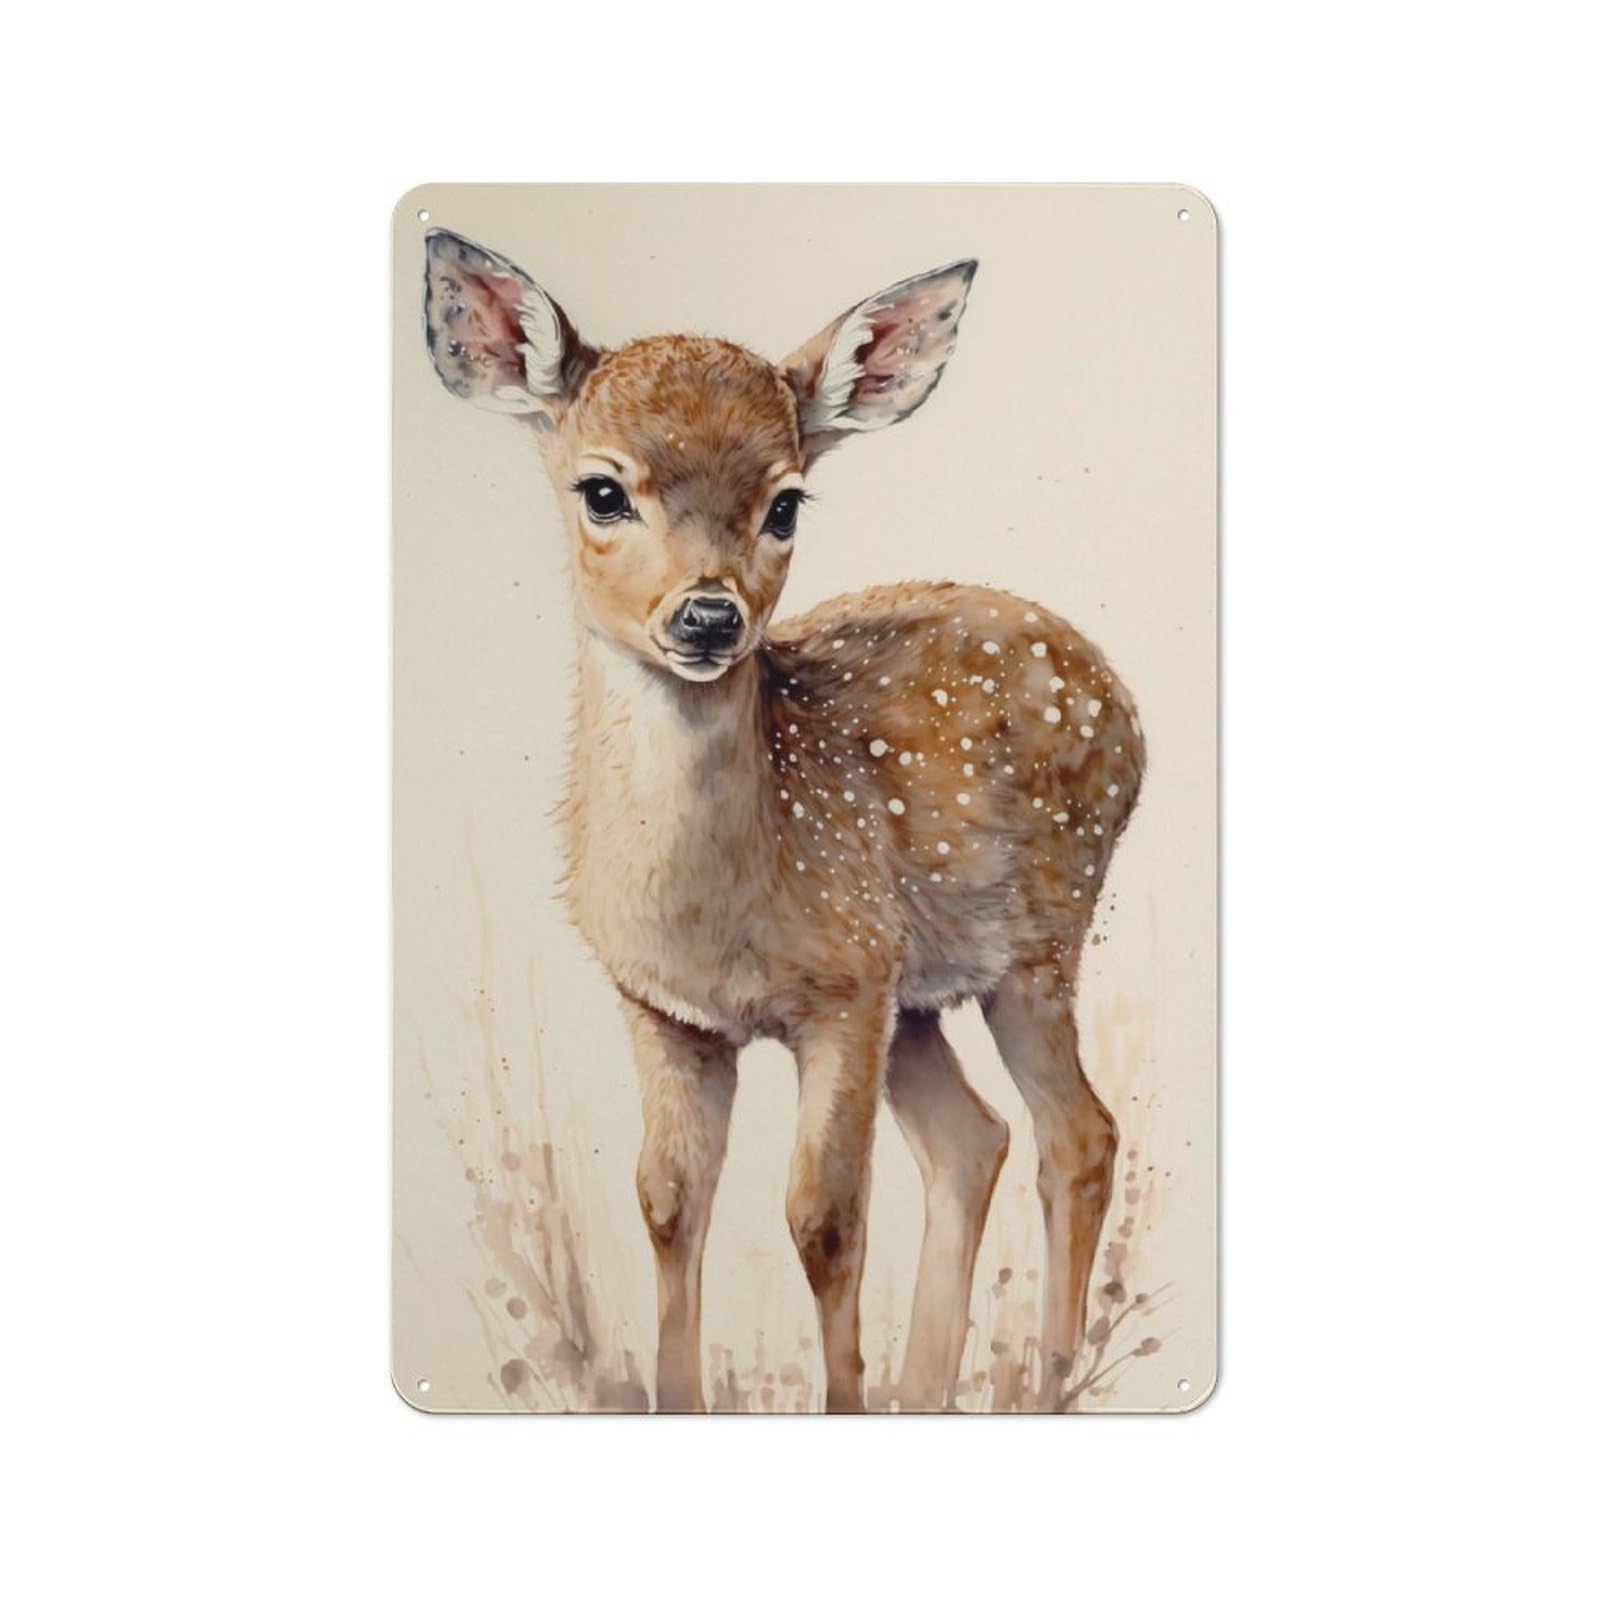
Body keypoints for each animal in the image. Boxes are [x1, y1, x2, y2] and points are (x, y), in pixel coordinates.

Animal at [422, 230, 1145, 1413]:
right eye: (602, 490)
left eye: (788, 504)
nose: (710, 615)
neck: (716, 912)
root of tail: (1123, 702)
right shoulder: (661, 1008)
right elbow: (667, 1202)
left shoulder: (841, 993)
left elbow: (825, 1219)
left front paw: (841, 1397)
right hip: (920, 992)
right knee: (972, 1141)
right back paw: (926, 1391)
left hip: (1037, 941)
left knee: (1077, 1133)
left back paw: (1045, 1381)